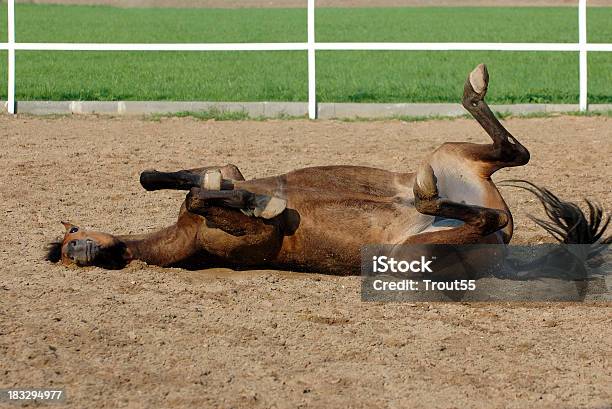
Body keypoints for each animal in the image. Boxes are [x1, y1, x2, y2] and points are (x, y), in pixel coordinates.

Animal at [45, 64, 608, 274]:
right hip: (417, 248)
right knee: (493, 198)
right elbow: (217, 200)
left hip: (447, 156)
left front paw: (236, 193)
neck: (181, 234)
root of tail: (505, 241)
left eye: (72, 238)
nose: (84, 251)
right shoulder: (241, 240)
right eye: (69, 253)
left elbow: (180, 179)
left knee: (512, 155)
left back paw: (474, 87)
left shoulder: (229, 168)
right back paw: (431, 196)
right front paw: (256, 202)